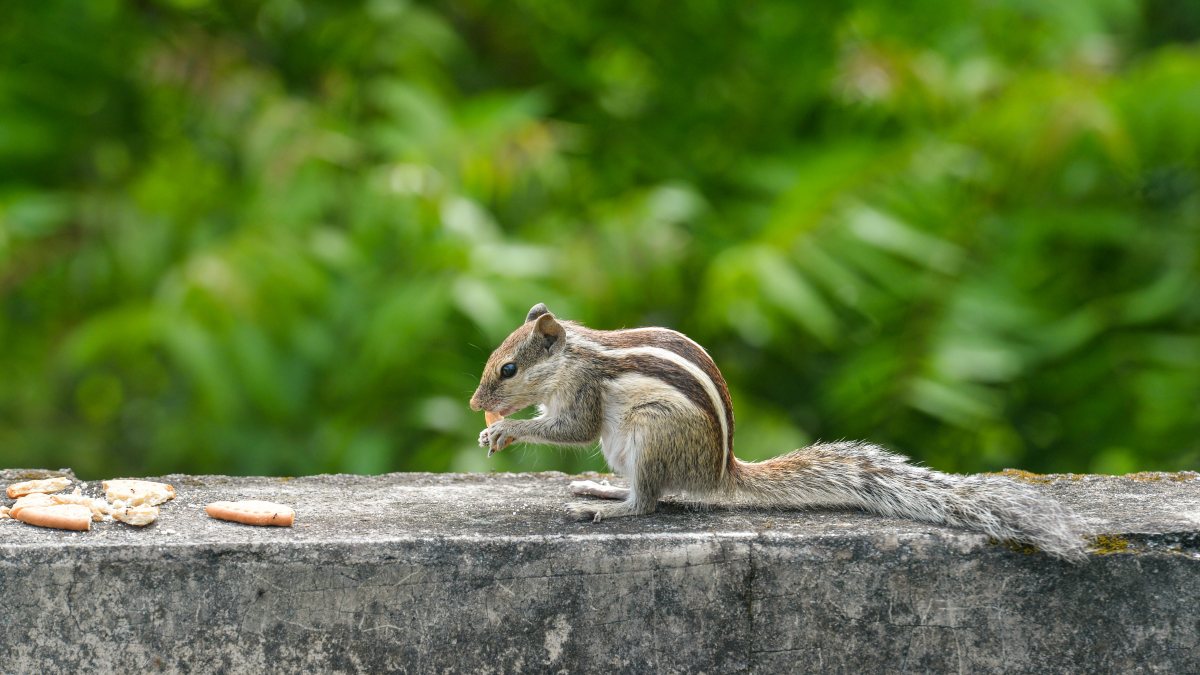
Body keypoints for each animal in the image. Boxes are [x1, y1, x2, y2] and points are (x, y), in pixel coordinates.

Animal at [470, 303, 1087, 561]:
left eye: (508, 370)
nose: (477, 404)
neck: (572, 355)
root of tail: (719, 474)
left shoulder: (583, 393)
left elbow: (572, 429)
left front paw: (508, 431)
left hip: (650, 432)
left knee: (648, 502)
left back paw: (610, 509)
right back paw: (598, 489)